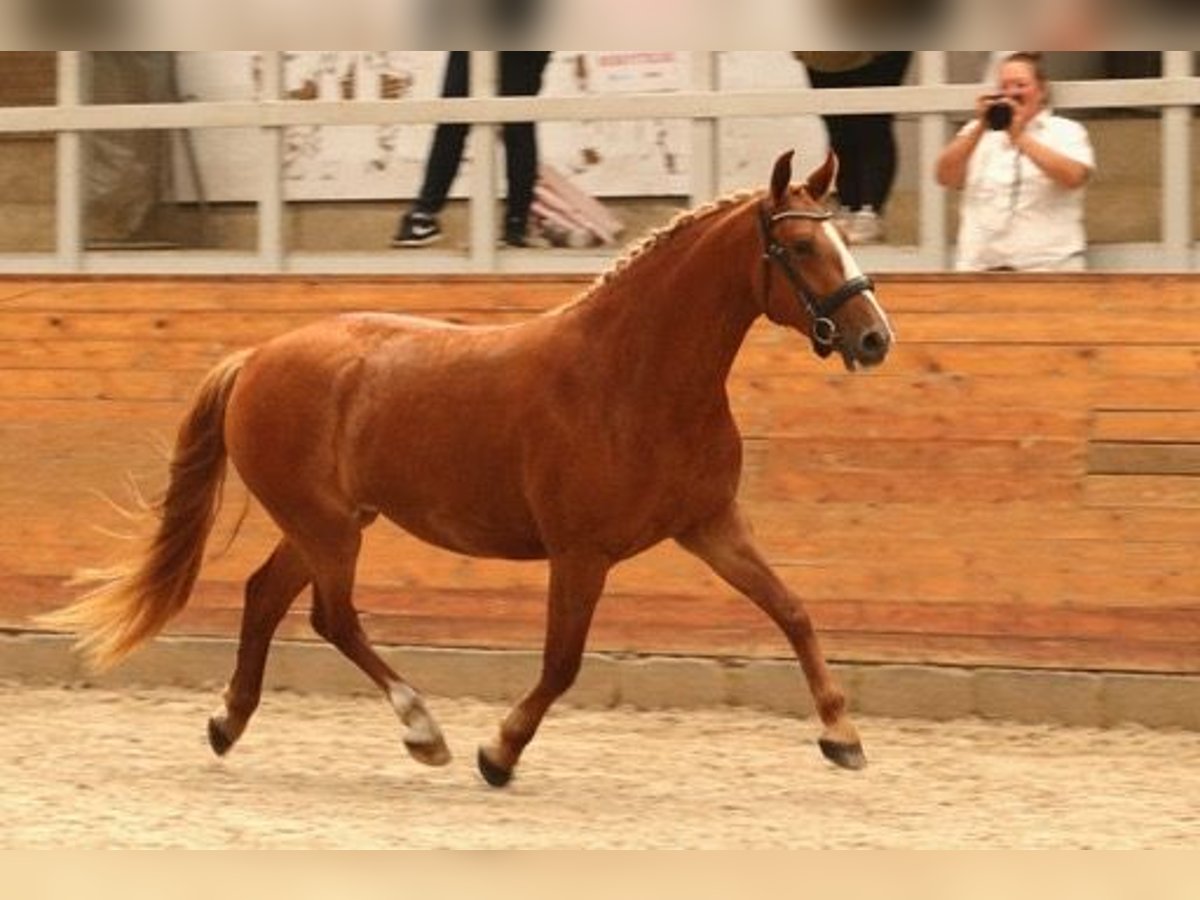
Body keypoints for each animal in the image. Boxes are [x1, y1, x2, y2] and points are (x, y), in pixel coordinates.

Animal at [44, 151, 892, 787]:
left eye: (844, 240)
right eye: (803, 248)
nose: (875, 339)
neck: (632, 377)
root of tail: (257, 357)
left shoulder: (710, 526)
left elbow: (793, 612)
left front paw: (843, 736)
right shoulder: (580, 554)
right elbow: (561, 663)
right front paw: (498, 752)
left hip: (326, 523)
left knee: (264, 597)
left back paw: (228, 724)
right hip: (328, 527)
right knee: (331, 617)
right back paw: (423, 731)